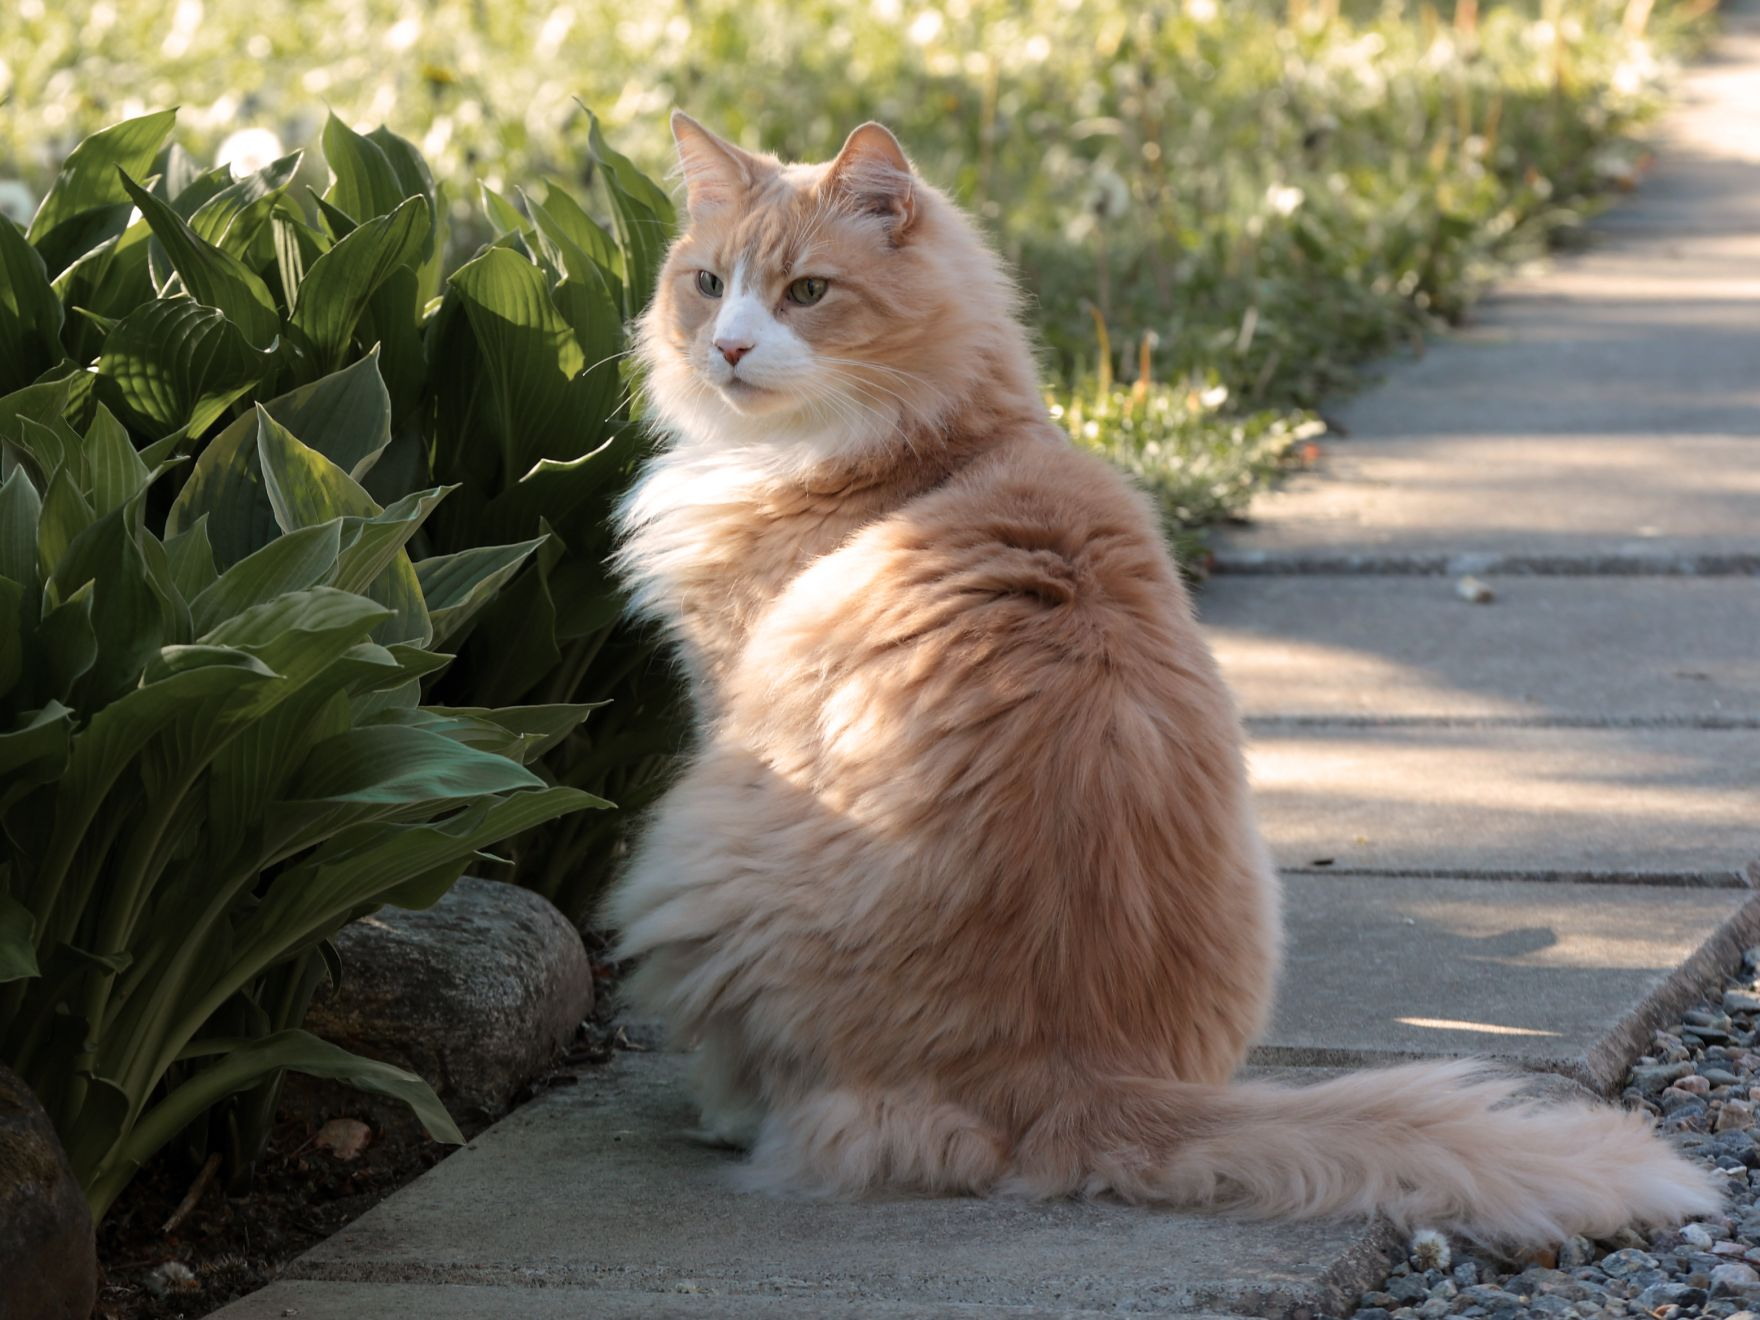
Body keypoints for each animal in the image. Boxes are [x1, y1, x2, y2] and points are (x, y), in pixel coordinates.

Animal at [608, 111, 1717, 1239]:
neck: (932, 449)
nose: (727, 346)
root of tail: (1067, 1074)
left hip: (694, 838)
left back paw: (728, 1116)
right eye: (708, 284)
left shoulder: (723, 684)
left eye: (806, 292)